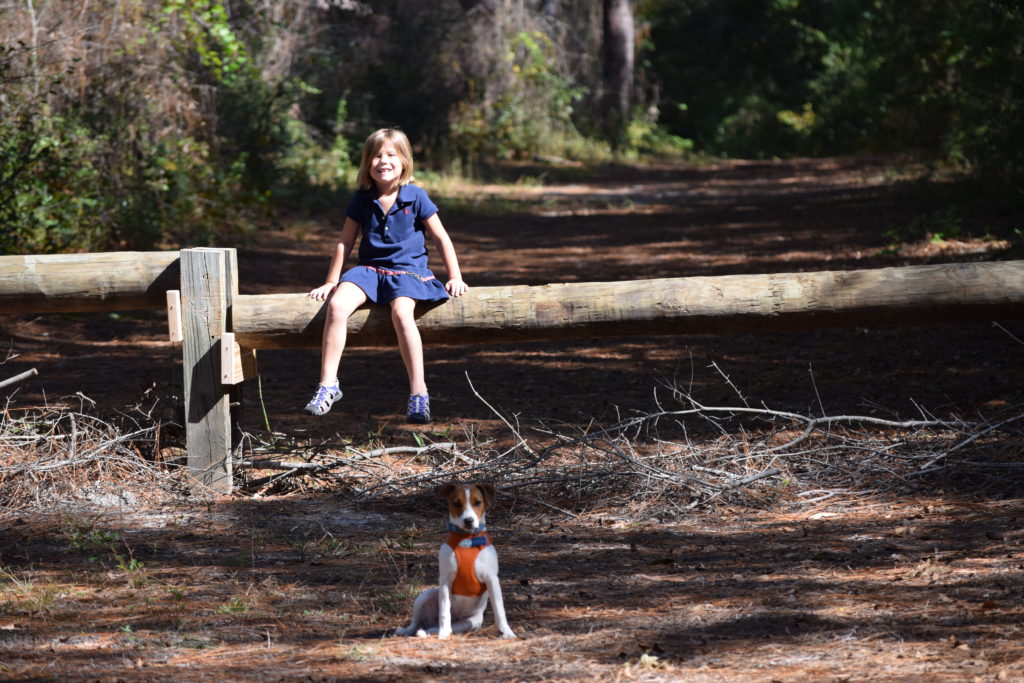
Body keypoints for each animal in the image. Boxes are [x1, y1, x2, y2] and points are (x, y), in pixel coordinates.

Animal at [393, 483, 516, 638]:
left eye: (477, 502)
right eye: (457, 503)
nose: (468, 521)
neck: (466, 538)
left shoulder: (492, 579)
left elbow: (500, 610)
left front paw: (507, 631)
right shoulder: (446, 579)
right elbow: (445, 610)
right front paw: (444, 632)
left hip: (470, 622)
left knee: (435, 628)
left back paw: (427, 631)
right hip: (425, 596)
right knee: (417, 622)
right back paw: (410, 631)